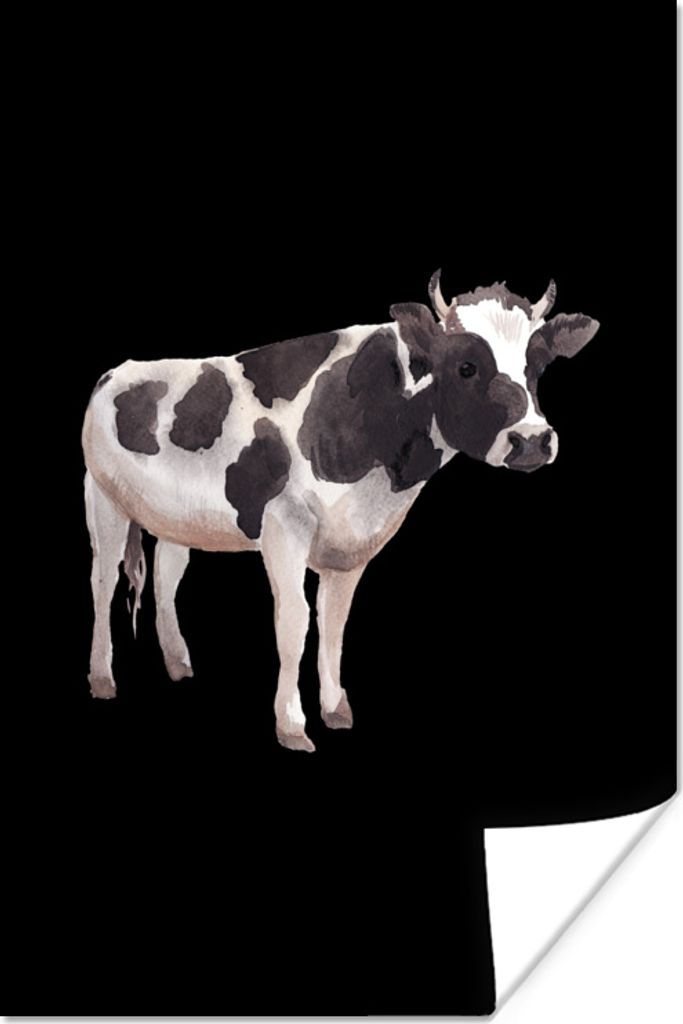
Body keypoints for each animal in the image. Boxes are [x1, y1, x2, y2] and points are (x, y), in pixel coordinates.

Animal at [82, 272, 599, 751]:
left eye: (538, 367)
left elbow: (334, 623)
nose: (532, 440)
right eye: (466, 367)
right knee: (103, 582)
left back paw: (178, 663)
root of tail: (115, 373)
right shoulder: (285, 526)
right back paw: (102, 678)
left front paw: (335, 709)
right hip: (103, 499)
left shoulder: (349, 544)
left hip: (176, 517)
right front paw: (292, 725)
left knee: (166, 578)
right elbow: (295, 622)